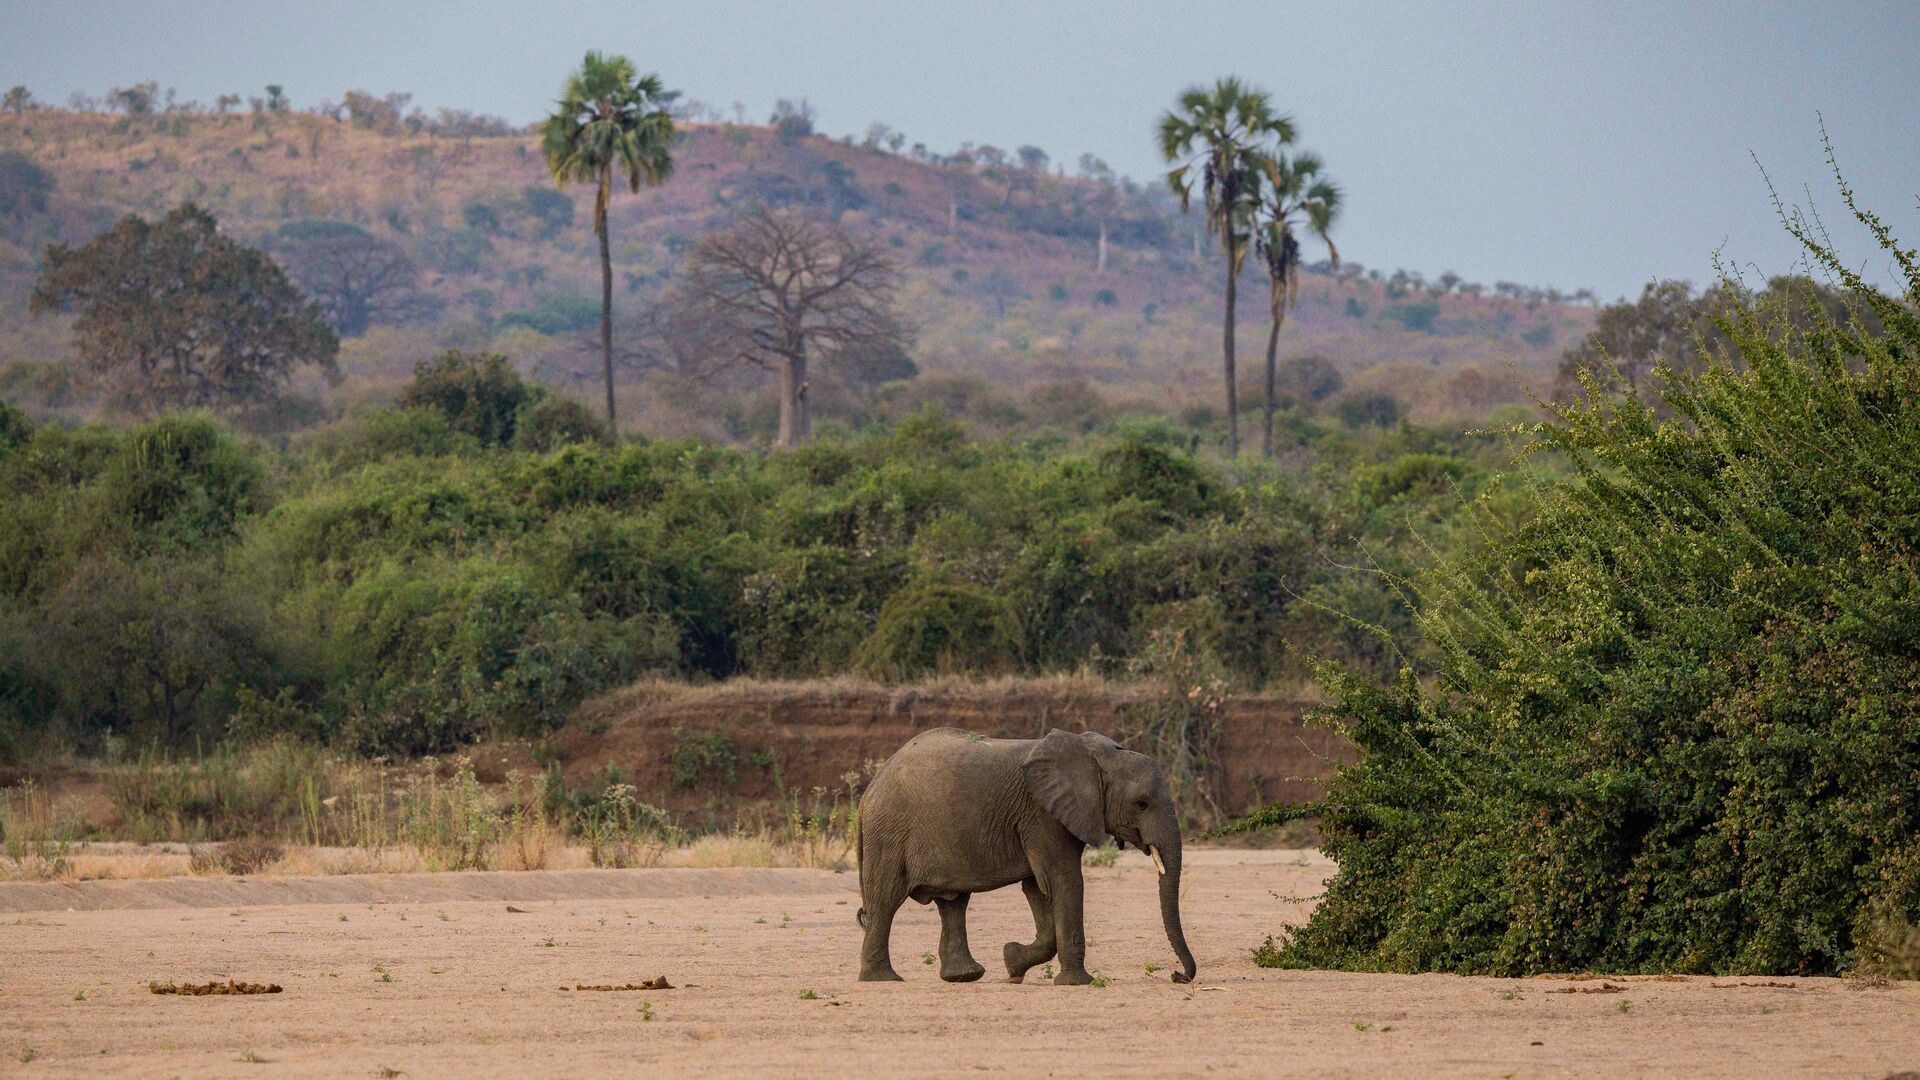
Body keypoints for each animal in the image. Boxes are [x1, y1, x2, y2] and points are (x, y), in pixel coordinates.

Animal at [854, 726, 1196, 985]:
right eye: (1142, 804)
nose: (1176, 975)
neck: (1096, 755)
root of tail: (868, 792)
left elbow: (1038, 888)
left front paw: (1012, 963)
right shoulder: (1042, 814)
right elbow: (1065, 881)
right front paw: (1077, 983)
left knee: (953, 903)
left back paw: (963, 977)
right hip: (889, 832)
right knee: (886, 899)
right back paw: (883, 979)